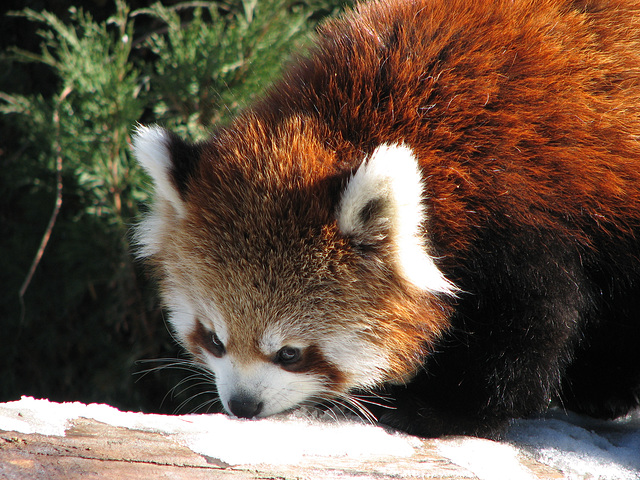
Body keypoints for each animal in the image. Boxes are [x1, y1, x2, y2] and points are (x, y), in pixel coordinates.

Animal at [132, 0, 640, 436]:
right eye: (214, 339)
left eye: (291, 354)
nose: (242, 405)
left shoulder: (524, 206)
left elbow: (526, 330)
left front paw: (432, 409)